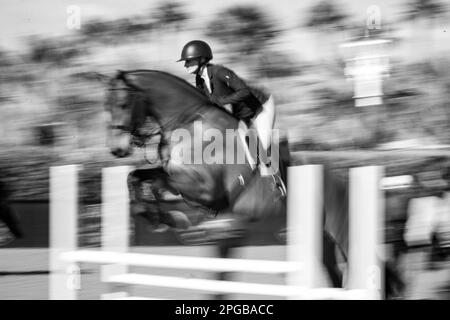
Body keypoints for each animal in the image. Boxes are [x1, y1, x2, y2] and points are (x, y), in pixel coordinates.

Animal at [102, 70, 352, 298]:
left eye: (123, 104)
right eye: (107, 106)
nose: (117, 150)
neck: (189, 125)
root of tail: (339, 180)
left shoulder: (205, 190)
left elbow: (158, 185)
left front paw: (173, 219)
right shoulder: (174, 174)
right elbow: (135, 177)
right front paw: (150, 215)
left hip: (336, 232)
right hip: (316, 239)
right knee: (335, 276)